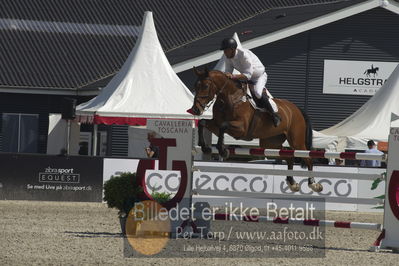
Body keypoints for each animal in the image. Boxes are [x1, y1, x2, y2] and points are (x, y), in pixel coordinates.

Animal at [189, 68, 324, 193]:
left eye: (205, 86)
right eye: (195, 86)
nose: (195, 109)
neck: (230, 97)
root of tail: (296, 109)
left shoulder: (241, 129)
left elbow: (223, 126)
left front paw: (223, 151)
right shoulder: (216, 125)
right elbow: (203, 123)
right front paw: (205, 147)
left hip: (296, 141)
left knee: (308, 158)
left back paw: (314, 184)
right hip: (270, 143)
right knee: (289, 157)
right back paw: (292, 183)